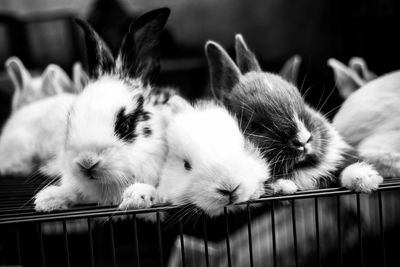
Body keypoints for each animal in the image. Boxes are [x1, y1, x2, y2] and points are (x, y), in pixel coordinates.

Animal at [34, 7, 181, 214]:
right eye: (69, 120)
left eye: (125, 126)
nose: (87, 162)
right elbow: (73, 193)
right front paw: (47, 200)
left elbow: (159, 190)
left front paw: (137, 196)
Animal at [205, 34, 382, 196]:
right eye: (254, 125)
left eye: (302, 103)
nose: (303, 140)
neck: (300, 168)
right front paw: (283, 186)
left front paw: (364, 178)